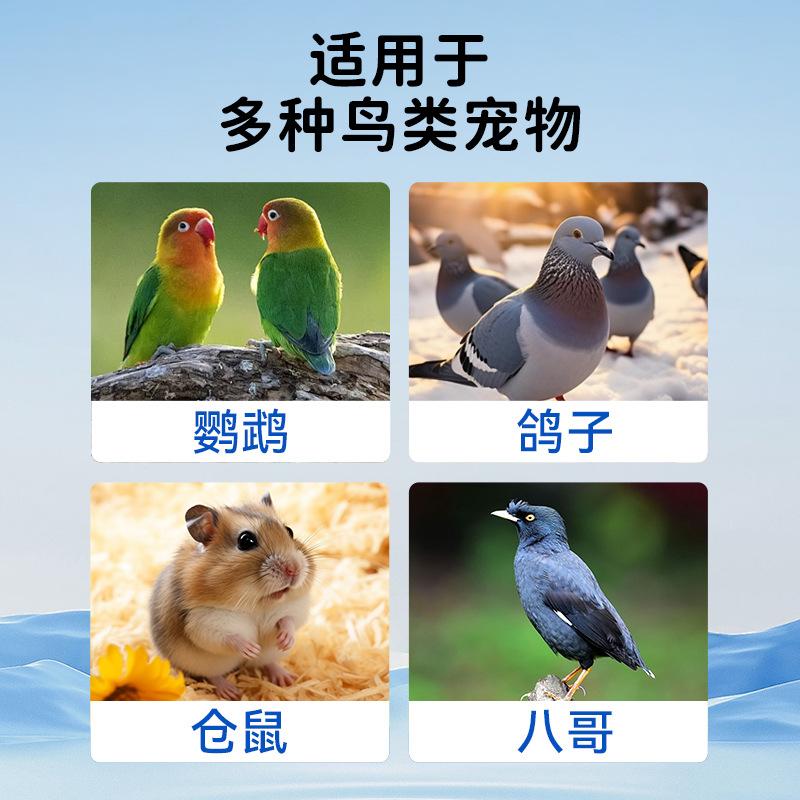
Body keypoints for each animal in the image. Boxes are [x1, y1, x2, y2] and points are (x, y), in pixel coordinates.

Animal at [150, 491, 314, 700]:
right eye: (246, 541)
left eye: (290, 531)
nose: (294, 570)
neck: (257, 602)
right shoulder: (204, 622)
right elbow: (229, 637)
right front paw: (252, 648)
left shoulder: (294, 607)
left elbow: (289, 620)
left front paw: (285, 641)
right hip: (204, 663)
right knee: (214, 675)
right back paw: (231, 692)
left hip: (270, 654)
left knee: (268, 662)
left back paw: (286, 678)